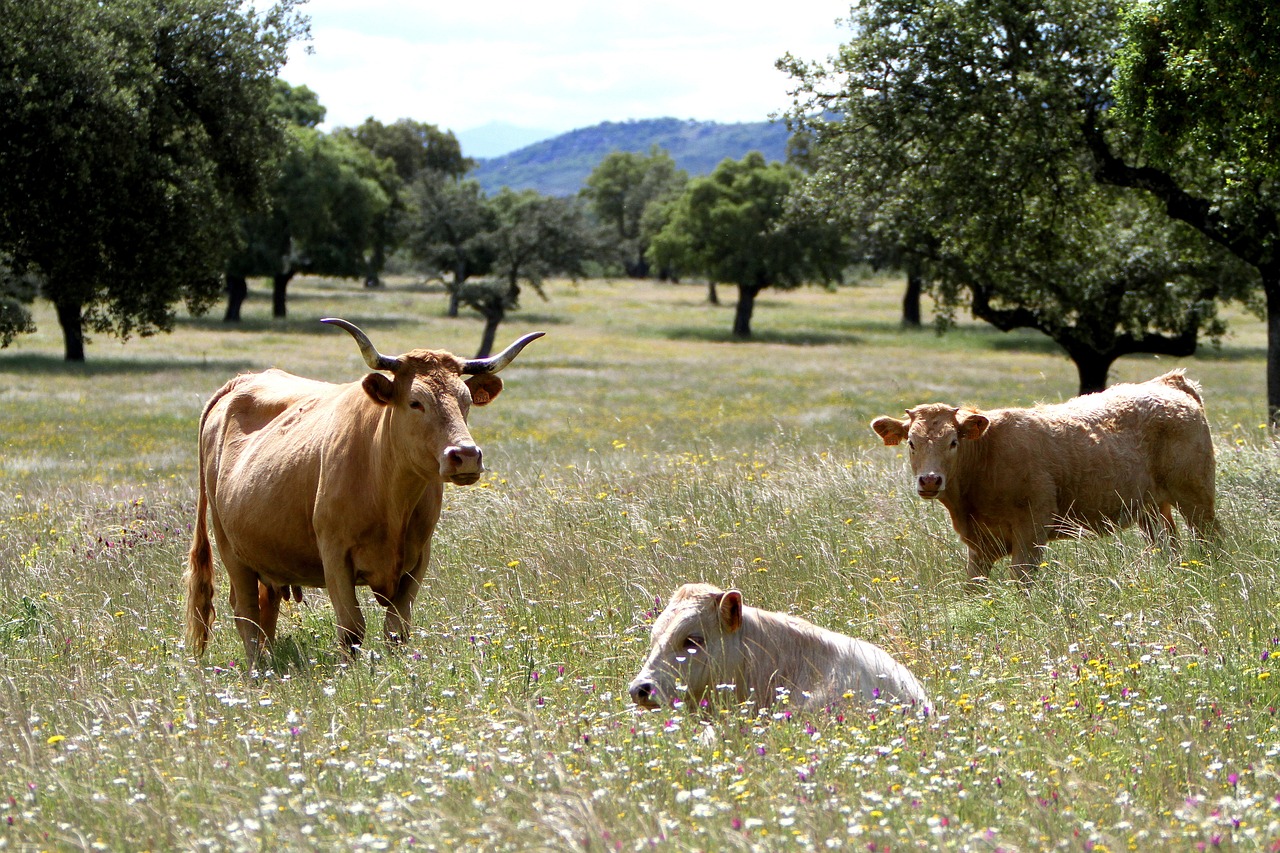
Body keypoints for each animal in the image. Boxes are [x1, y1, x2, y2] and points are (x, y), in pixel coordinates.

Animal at [185, 317, 540, 666]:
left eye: (466, 401)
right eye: (416, 402)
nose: (465, 455)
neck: (389, 496)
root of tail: (241, 381)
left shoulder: (418, 559)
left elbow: (397, 629)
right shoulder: (335, 554)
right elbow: (351, 629)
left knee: (264, 608)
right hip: (229, 547)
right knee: (245, 611)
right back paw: (257, 670)